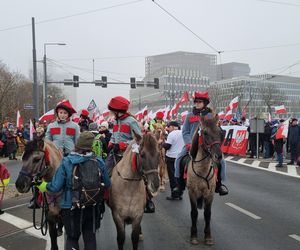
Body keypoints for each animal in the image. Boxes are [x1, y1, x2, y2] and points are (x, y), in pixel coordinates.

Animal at [188, 114, 223, 246]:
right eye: (205, 132)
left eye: (220, 132)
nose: (218, 156)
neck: (202, 170)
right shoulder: (192, 192)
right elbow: (194, 213)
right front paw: (193, 236)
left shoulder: (210, 194)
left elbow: (207, 214)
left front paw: (208, 236)